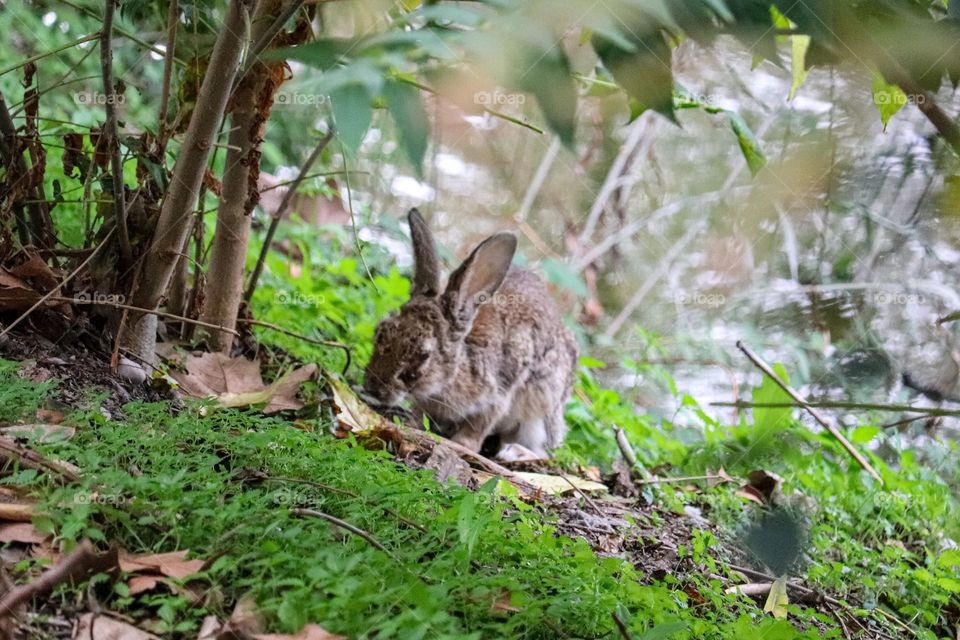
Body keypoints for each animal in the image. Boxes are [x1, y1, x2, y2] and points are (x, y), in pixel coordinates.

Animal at [363, 208, 578, 460]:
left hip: (540, 411)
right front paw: (413, 423)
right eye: (380, 332)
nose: (372, 388)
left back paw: (514, 453)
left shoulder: (499, 393)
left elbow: (481, 423)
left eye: (423, 355)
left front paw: (463, 443)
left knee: (543, 451)